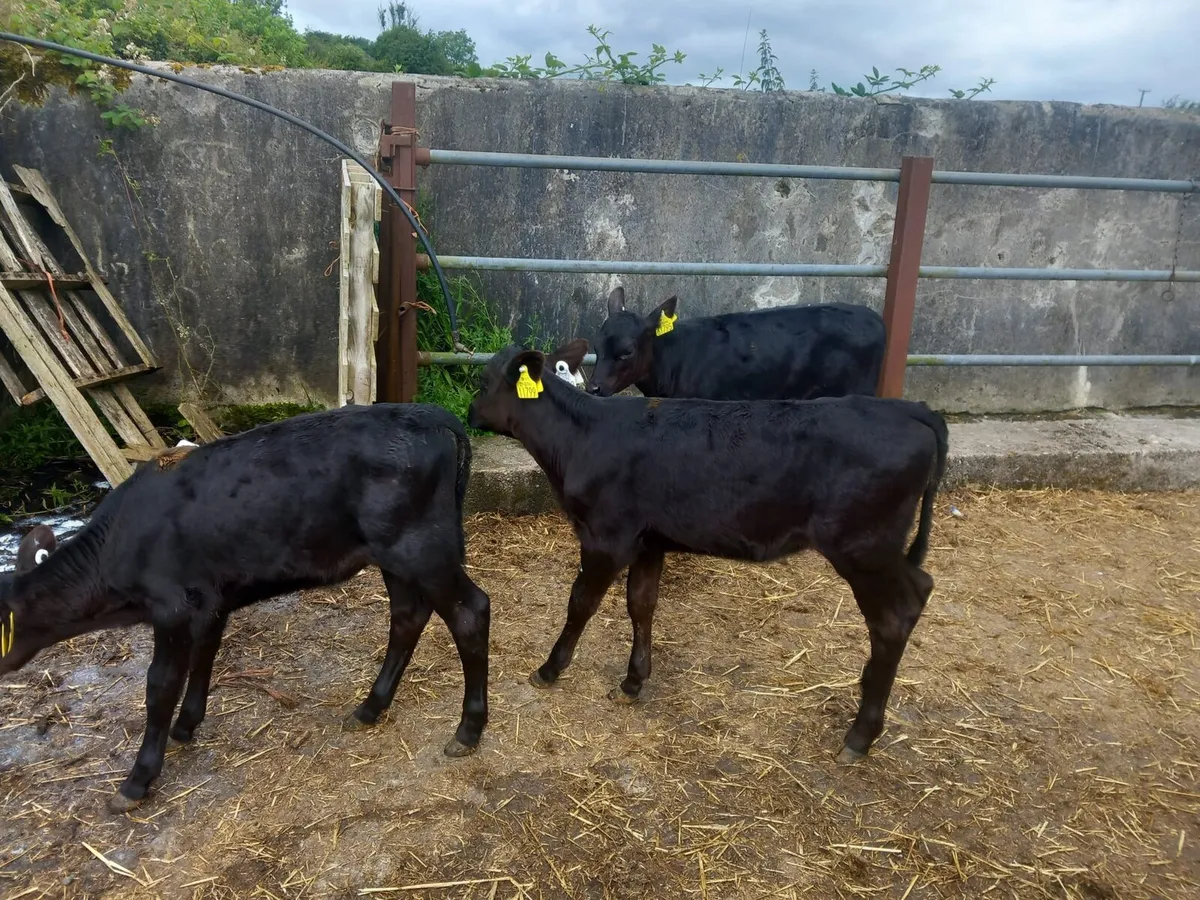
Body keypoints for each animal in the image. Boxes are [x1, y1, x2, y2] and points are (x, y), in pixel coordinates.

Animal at [0, 404, 490, 813]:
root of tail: (428, 413)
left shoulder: (172, 605)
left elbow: (160, 685)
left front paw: (137, 781)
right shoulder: (209, 601)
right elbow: (204, 657)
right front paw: (186, 726)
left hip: (421, 548)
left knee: (471, 612)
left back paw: (467, 730)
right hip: (393, 554)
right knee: (408, 616)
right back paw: (370, 708)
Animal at [468, 340, 948, 764]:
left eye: (482, 381)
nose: (469, 413)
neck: (581, 436)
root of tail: (909, 408)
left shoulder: (606, 538)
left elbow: (581, 602)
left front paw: (550, 669)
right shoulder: (649, 541)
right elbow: (641, 604)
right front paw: (633, 681)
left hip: (862, 548)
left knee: (894, 617)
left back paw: (861, 734)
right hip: (881, 550)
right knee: (921, 586)